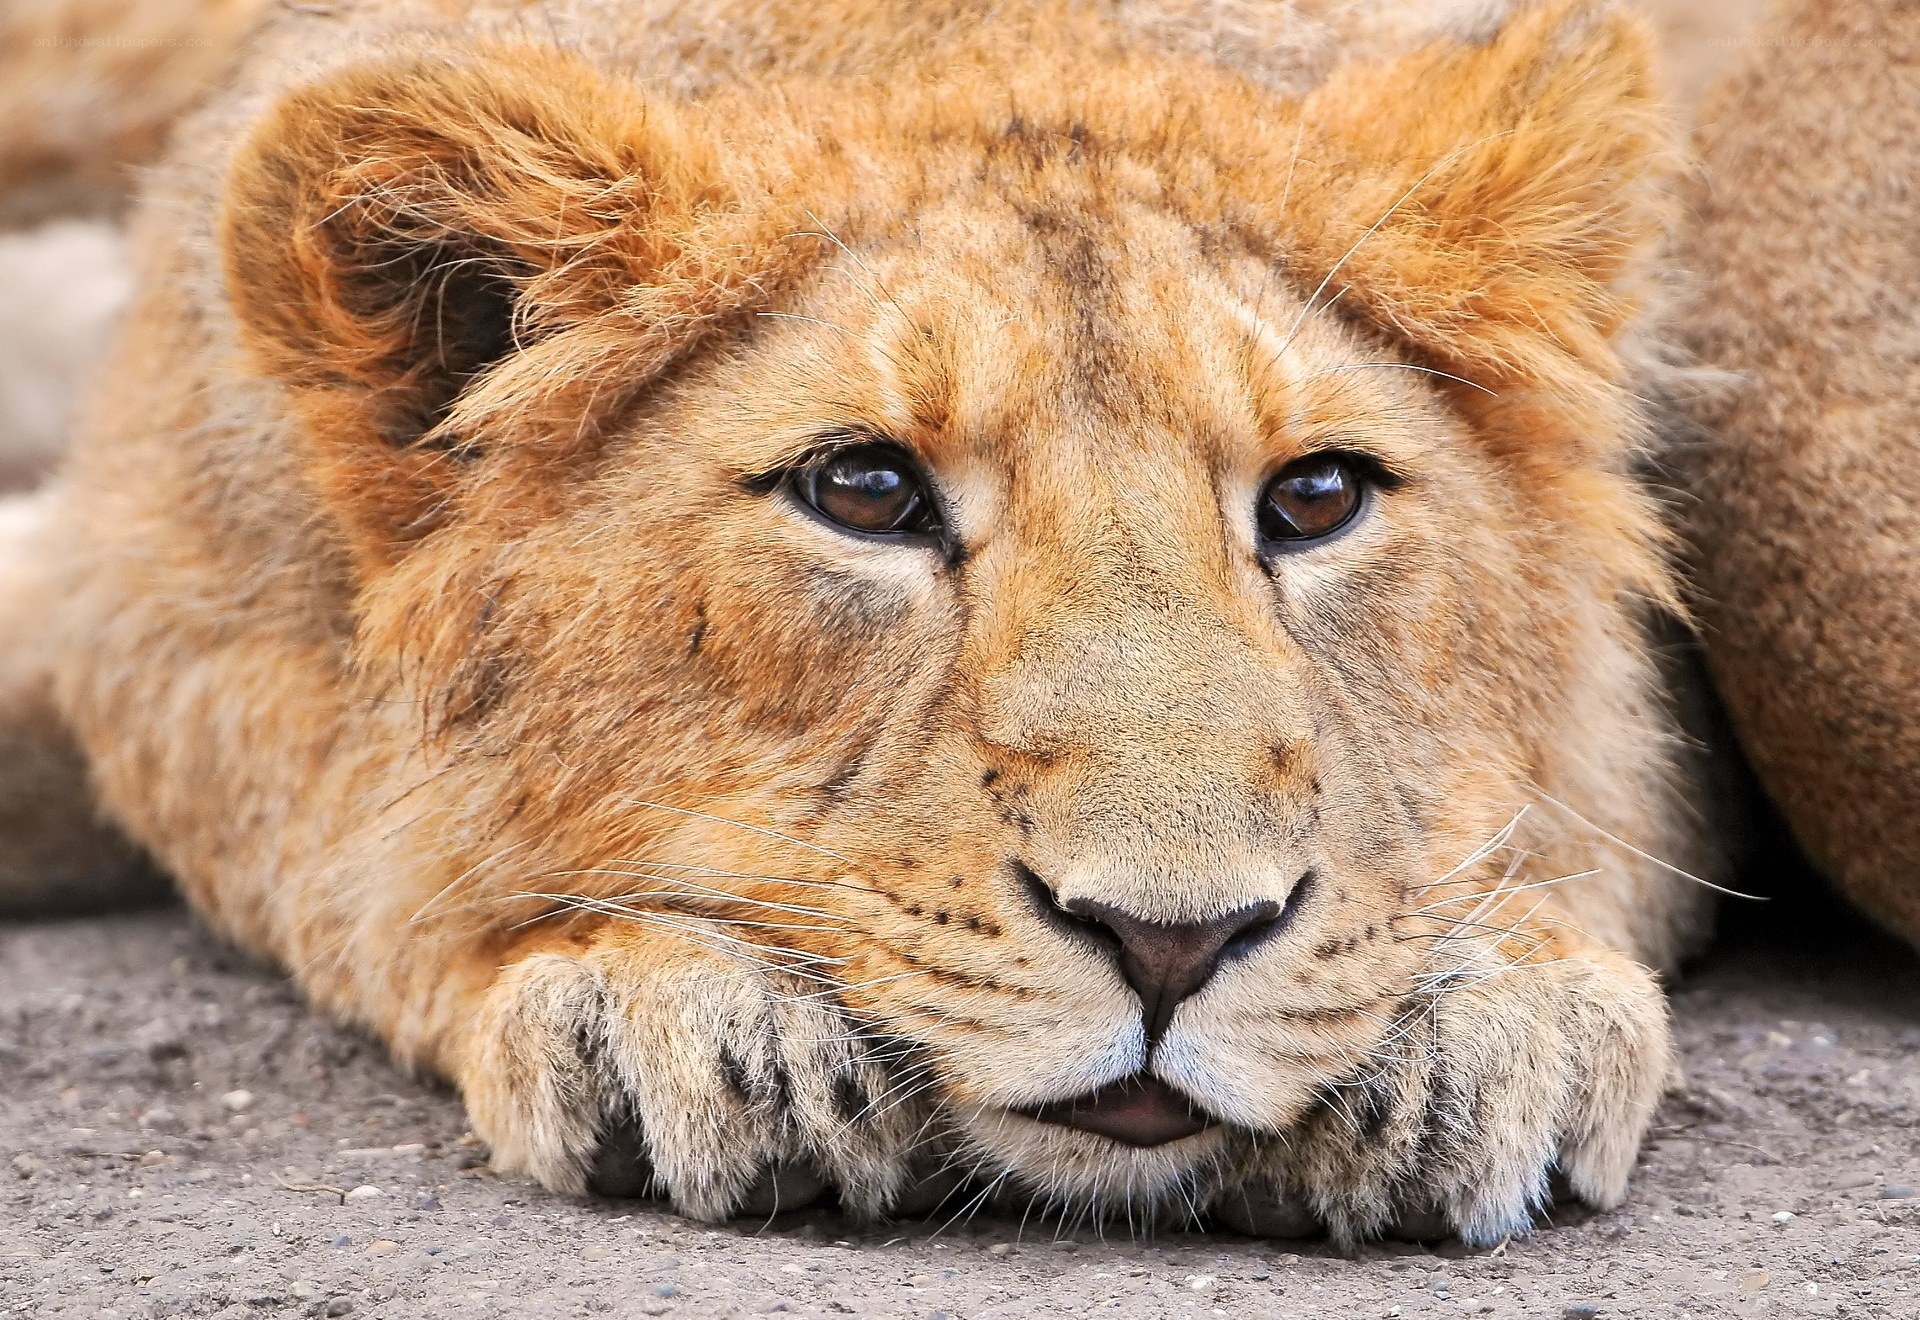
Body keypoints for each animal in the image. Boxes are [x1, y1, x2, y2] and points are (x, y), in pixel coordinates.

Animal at [0, 0, 1736, 1245]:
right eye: (864, 489)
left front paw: (1482, 1019)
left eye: (1314, 499)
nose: (1171, 945)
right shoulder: (156, 605)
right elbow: (353, 854)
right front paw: (677, 1010)